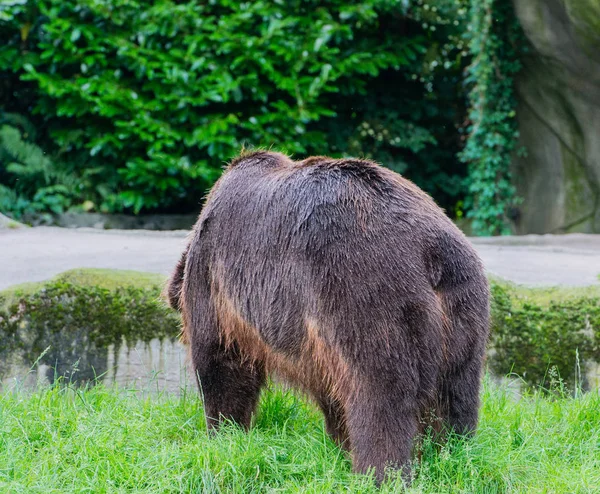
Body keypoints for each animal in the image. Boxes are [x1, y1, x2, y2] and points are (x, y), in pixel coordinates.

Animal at [166, 151, 490, 482]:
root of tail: (429, 253)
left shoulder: (216, 278)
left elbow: (221, 362)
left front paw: (225, 432)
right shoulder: (316, 339)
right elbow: (331, 395)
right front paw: (339, 444)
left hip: (367, 294)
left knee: (379, 397)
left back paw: (379, 472)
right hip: (465, 310)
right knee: (456, 397)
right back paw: (453, 456)